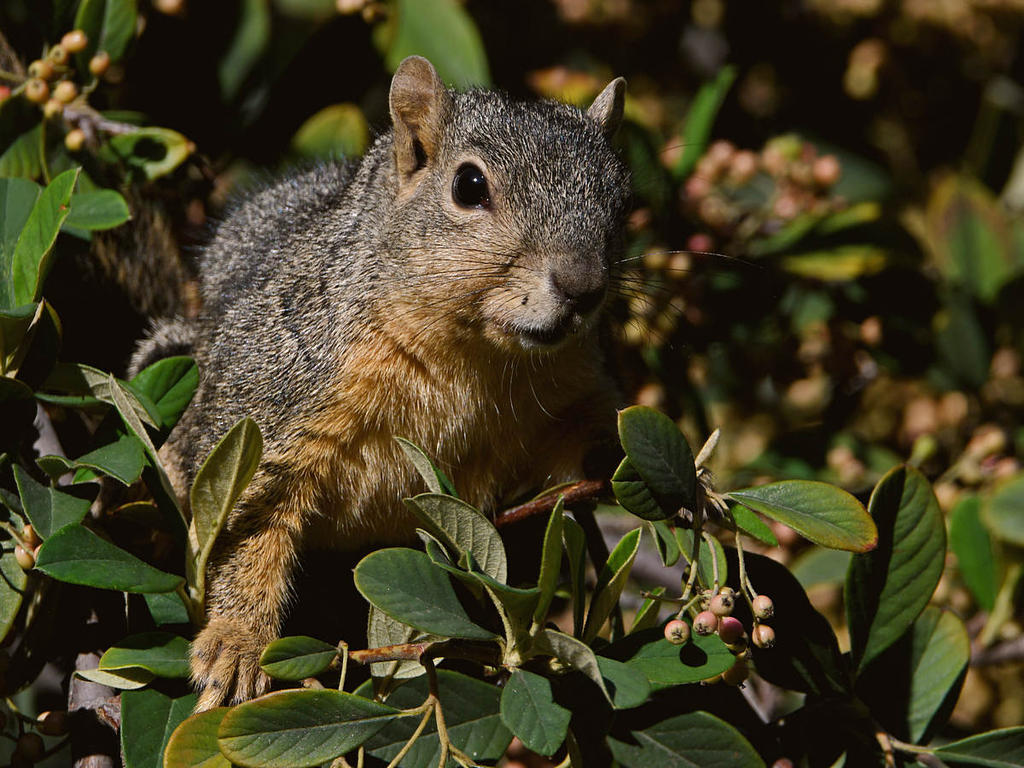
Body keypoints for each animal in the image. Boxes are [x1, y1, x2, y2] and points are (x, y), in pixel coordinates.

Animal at [131, 56, 630, 711]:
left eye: (621, 201)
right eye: (469, 186)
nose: (582, 286)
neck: (474, 354)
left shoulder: (572, 386)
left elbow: (584, 439)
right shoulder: (276, 393)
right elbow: (247, 525)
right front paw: (238, 643)